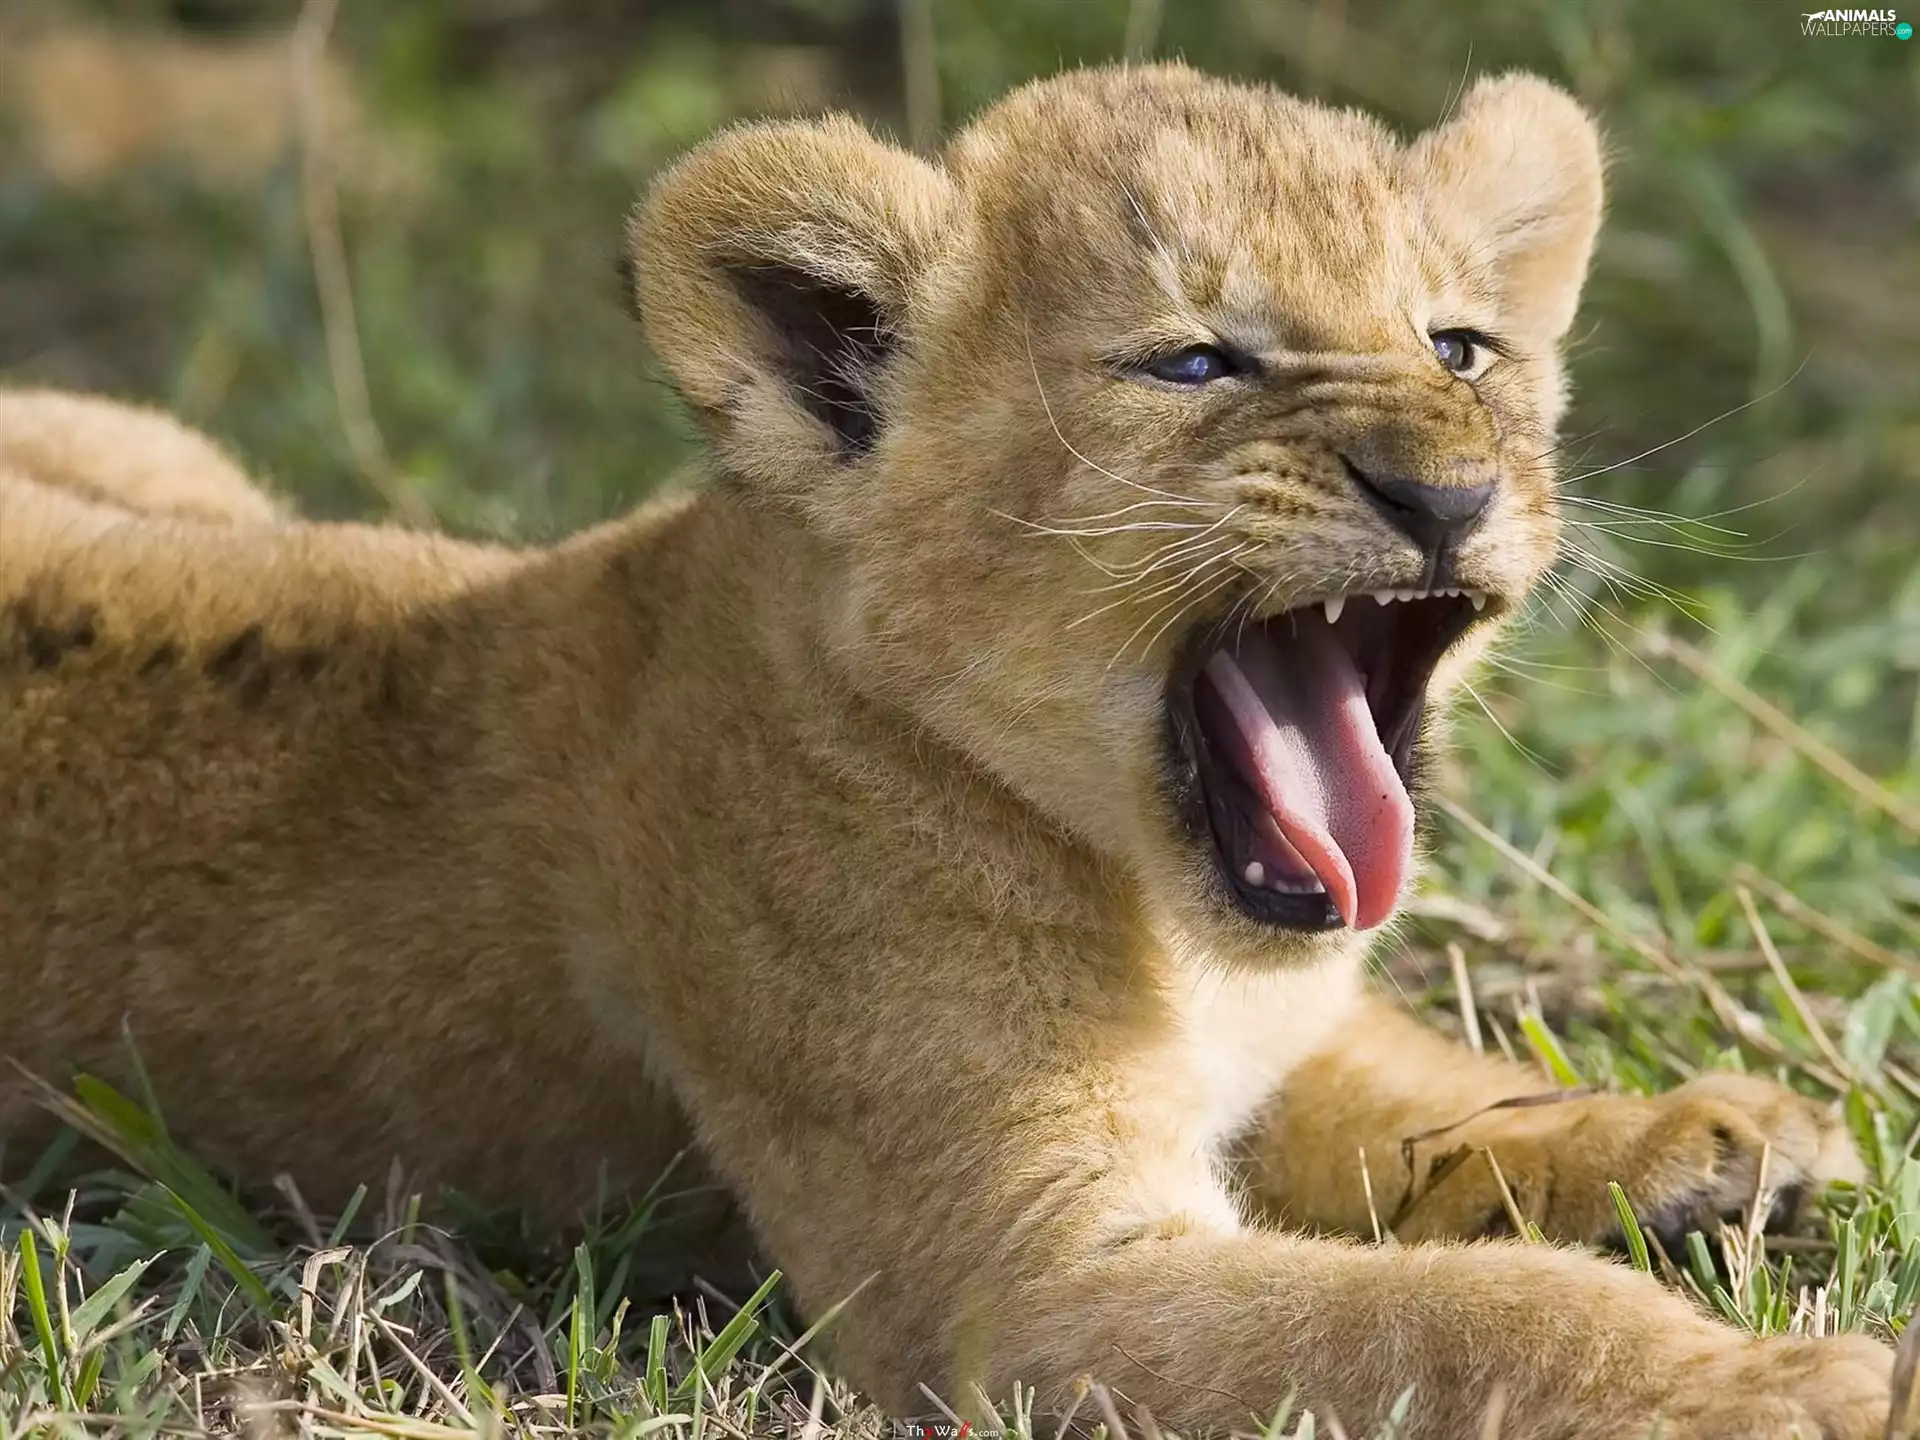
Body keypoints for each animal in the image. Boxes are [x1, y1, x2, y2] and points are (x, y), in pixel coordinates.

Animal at [0, 65, 1891, 1437]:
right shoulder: (1016, 1291)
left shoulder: (1277, 1042)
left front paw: (1704, 1137)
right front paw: (1789, 1384)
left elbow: (1432, 1090)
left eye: (1458, 346)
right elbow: (1464, 1320)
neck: (1160, 911)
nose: (1445, 491)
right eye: (1194, 363)